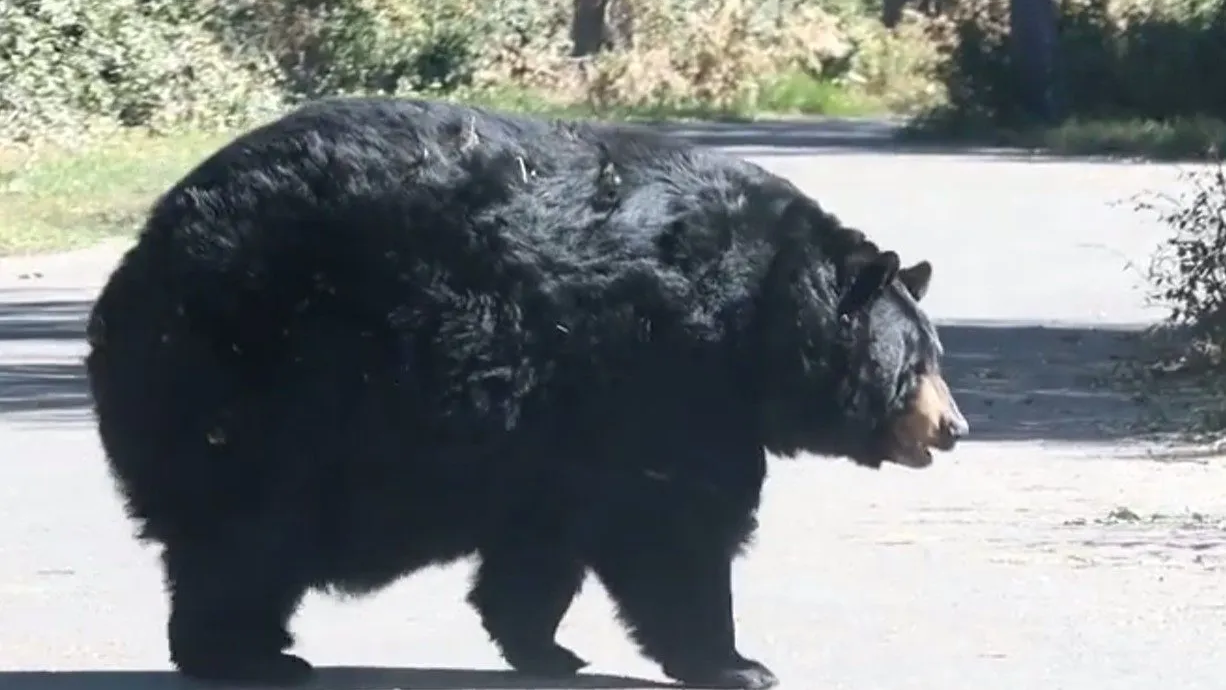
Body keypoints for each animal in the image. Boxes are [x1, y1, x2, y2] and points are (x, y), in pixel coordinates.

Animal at [84, 96, 968, 690]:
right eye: (917, 362)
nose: (953, 427)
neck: (759, 314)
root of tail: (140, 259)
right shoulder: (666, 378)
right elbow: (675, 526)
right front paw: (737, 661)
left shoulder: (559, 427)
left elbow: (544, 541)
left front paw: (548, 646)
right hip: (262, 378)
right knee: (245, 535)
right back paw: (246, 654)